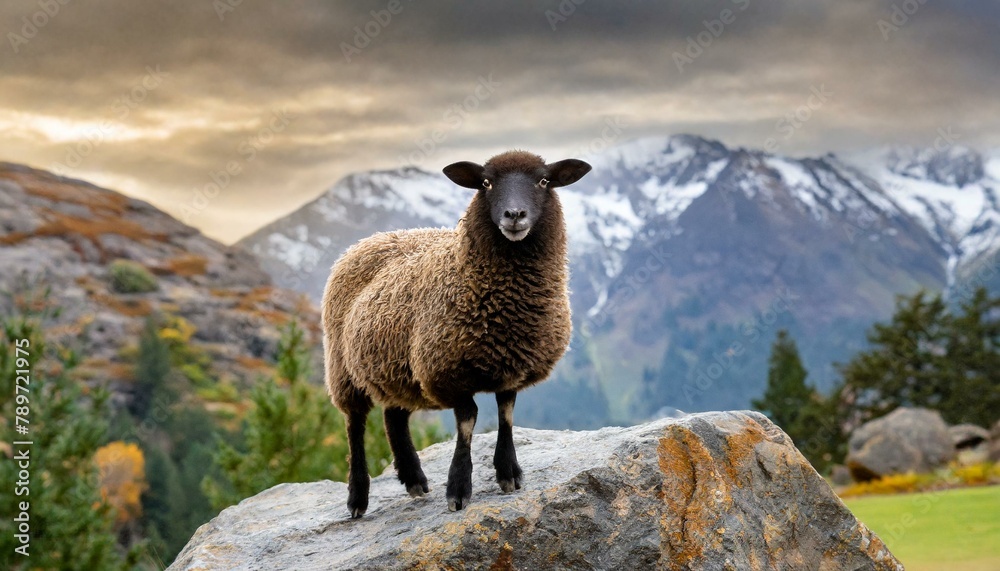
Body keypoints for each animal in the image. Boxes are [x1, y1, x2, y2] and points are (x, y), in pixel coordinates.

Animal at [322, 150, 592, 517]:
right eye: (486, 183)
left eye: (544, 181)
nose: (514, 215)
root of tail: (375, 237)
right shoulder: (447, 370)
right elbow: (468, 422)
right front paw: (459, 489)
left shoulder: (512, 364)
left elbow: (506, 414)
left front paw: (509, 474)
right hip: (343, 367)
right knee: (355, 424)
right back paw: (357, 498)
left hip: (397, 366)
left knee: (394, 416)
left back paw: (414, 479)